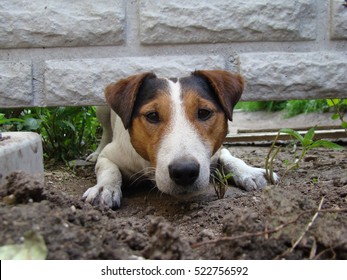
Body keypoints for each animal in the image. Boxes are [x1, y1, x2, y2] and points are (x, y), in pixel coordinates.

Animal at [82, 71, 278, 209]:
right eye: (152, 116)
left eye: (204, 113)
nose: (184, 171)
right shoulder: (112, 154)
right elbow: (109, 169)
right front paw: (104, 189)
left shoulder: (218, 150)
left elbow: (230, 158)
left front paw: (250, 172)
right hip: (101, 110)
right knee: (106, 131)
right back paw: (95, 153)